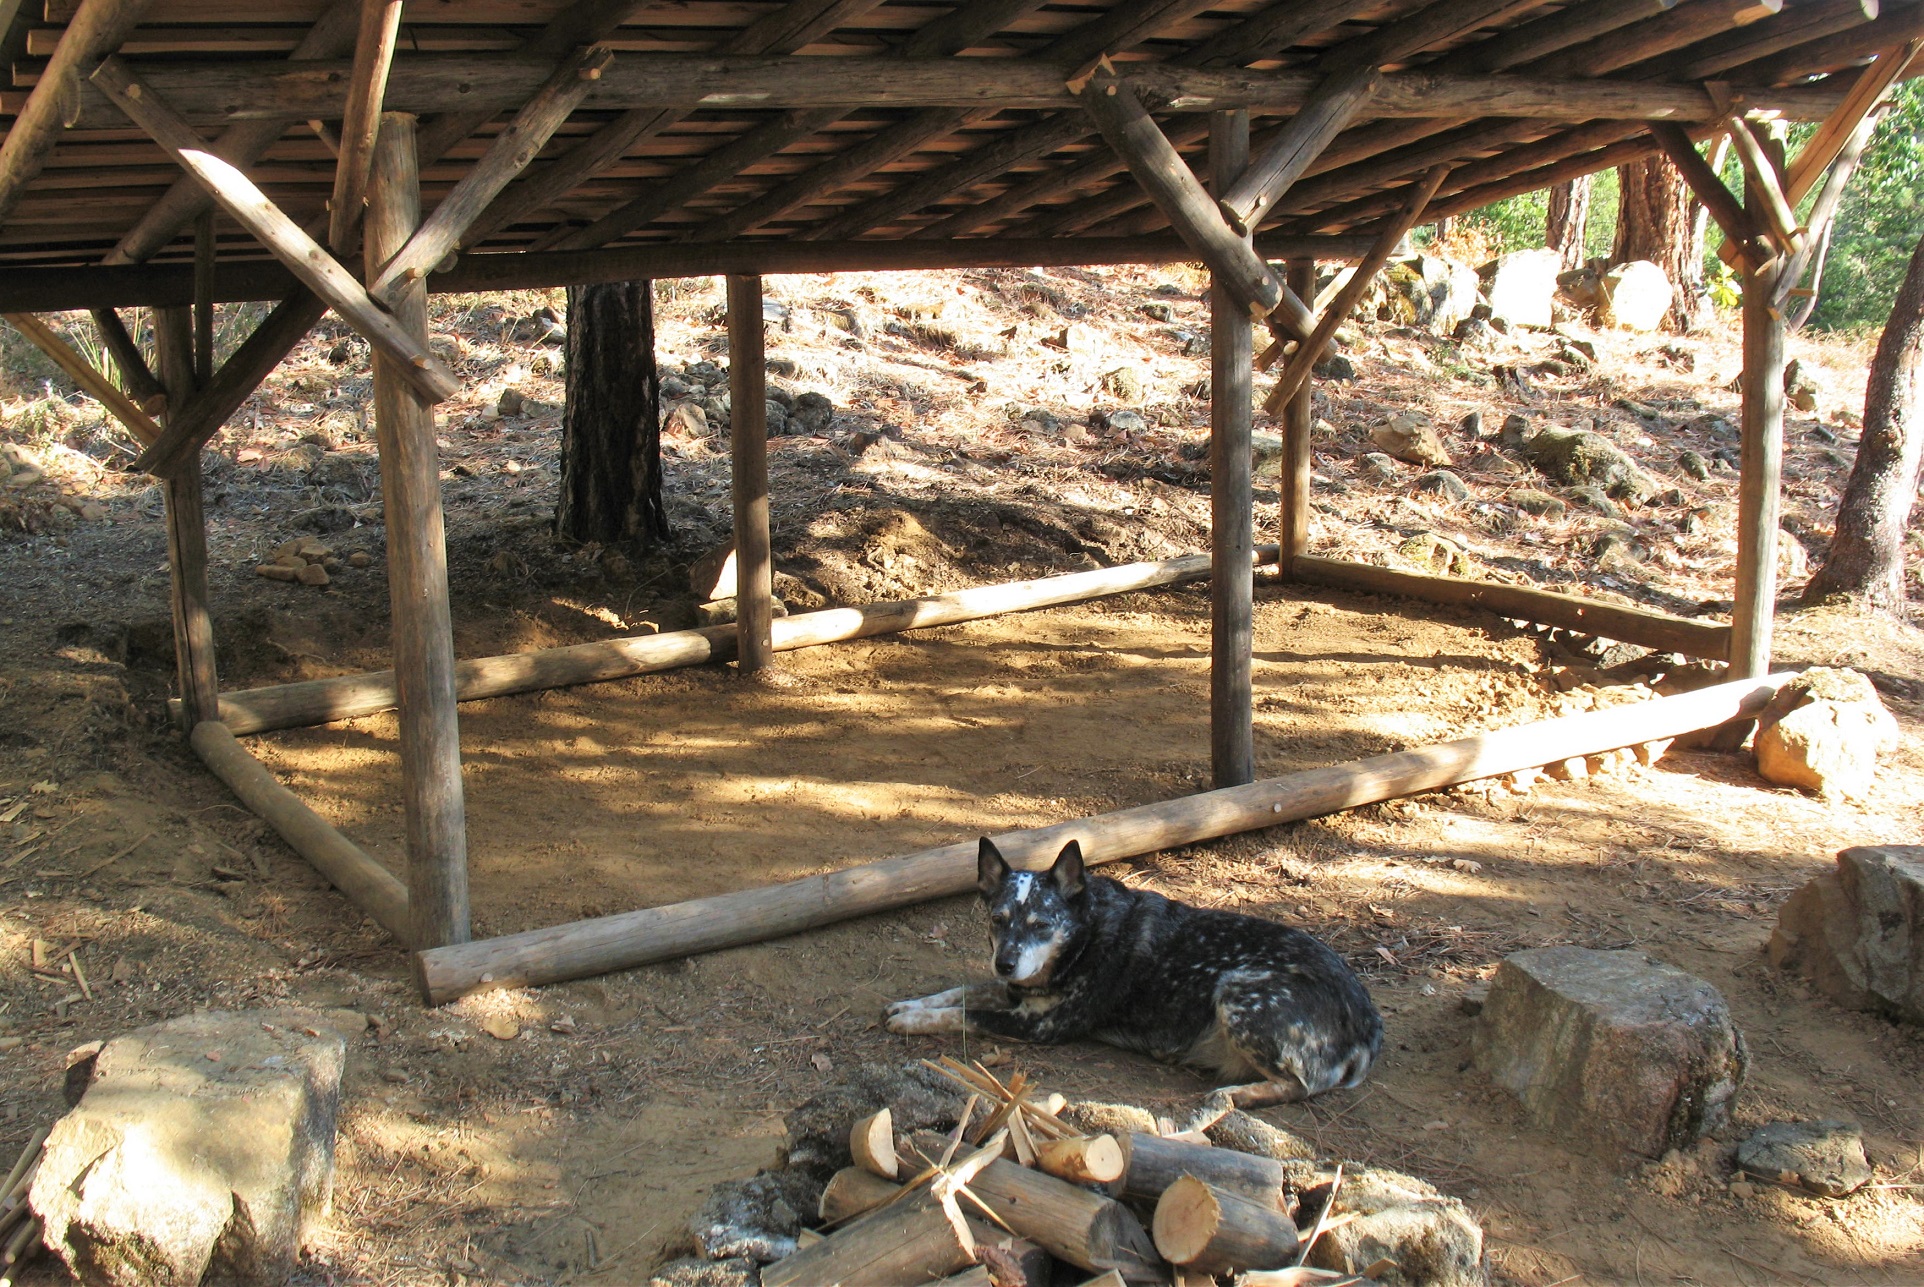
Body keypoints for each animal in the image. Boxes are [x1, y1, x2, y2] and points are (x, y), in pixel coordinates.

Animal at [885, 834, 1385, 1115]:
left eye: (1041, 925)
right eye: (997, 919)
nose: (1005, 962)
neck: (1085, 936)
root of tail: (1370, 1023)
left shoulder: (1039, 1026)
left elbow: (963, 1014)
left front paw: (912, 1021)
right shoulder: (1013, 993)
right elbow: (960, 990)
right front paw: (909, 1005)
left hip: (1237, 989)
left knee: (1300, 1086)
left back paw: (1236, 1096)